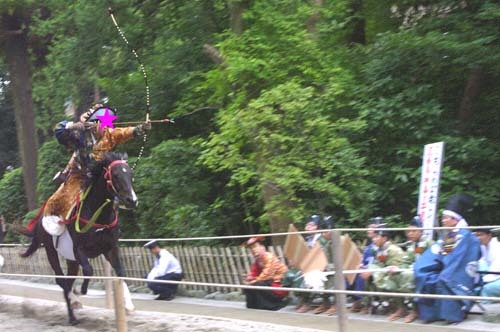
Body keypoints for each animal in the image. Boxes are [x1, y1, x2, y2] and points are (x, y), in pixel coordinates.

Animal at [20, 152, 138, 324]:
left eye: (130, 174)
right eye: (115, 175)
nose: (132, 200)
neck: (98, 216)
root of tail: (41, 219)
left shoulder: (110, 248)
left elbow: (121, 272)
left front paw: (128, 305)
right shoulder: (78, 249)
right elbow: (89, 269)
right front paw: (81, 290)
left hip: (72, 261)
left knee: (67, 281)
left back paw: (73, 313)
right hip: (51, 251)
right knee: (61, 280)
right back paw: (74, 306)